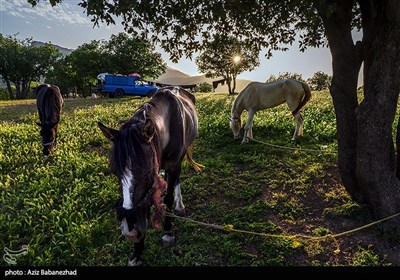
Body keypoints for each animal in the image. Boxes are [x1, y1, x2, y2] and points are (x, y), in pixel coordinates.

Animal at [97, 86, 203, 266]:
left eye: (145, 171)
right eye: (115, 172)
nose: (130, 232)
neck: (169, 124)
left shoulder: (172, 165)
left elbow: (168, 198)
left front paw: (168, 232)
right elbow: (146, 203)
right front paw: (137, 252)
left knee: (176, 181)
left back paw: (179, 205)